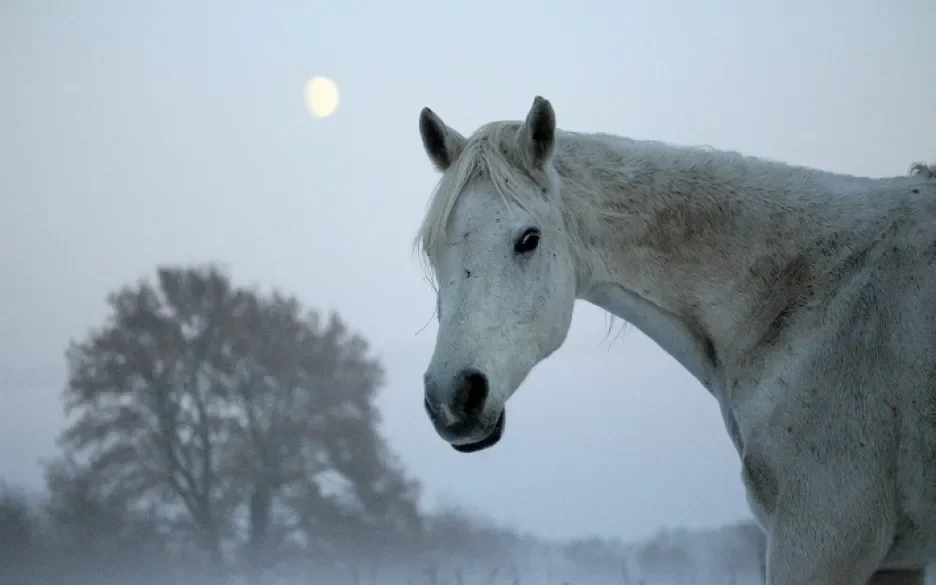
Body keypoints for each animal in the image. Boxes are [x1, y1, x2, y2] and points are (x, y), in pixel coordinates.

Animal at [414, 96, 936, 584]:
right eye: (433, 250)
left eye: (529, 239)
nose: (453, 400)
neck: (812, 292)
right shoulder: (892, 563)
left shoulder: (821, 540)